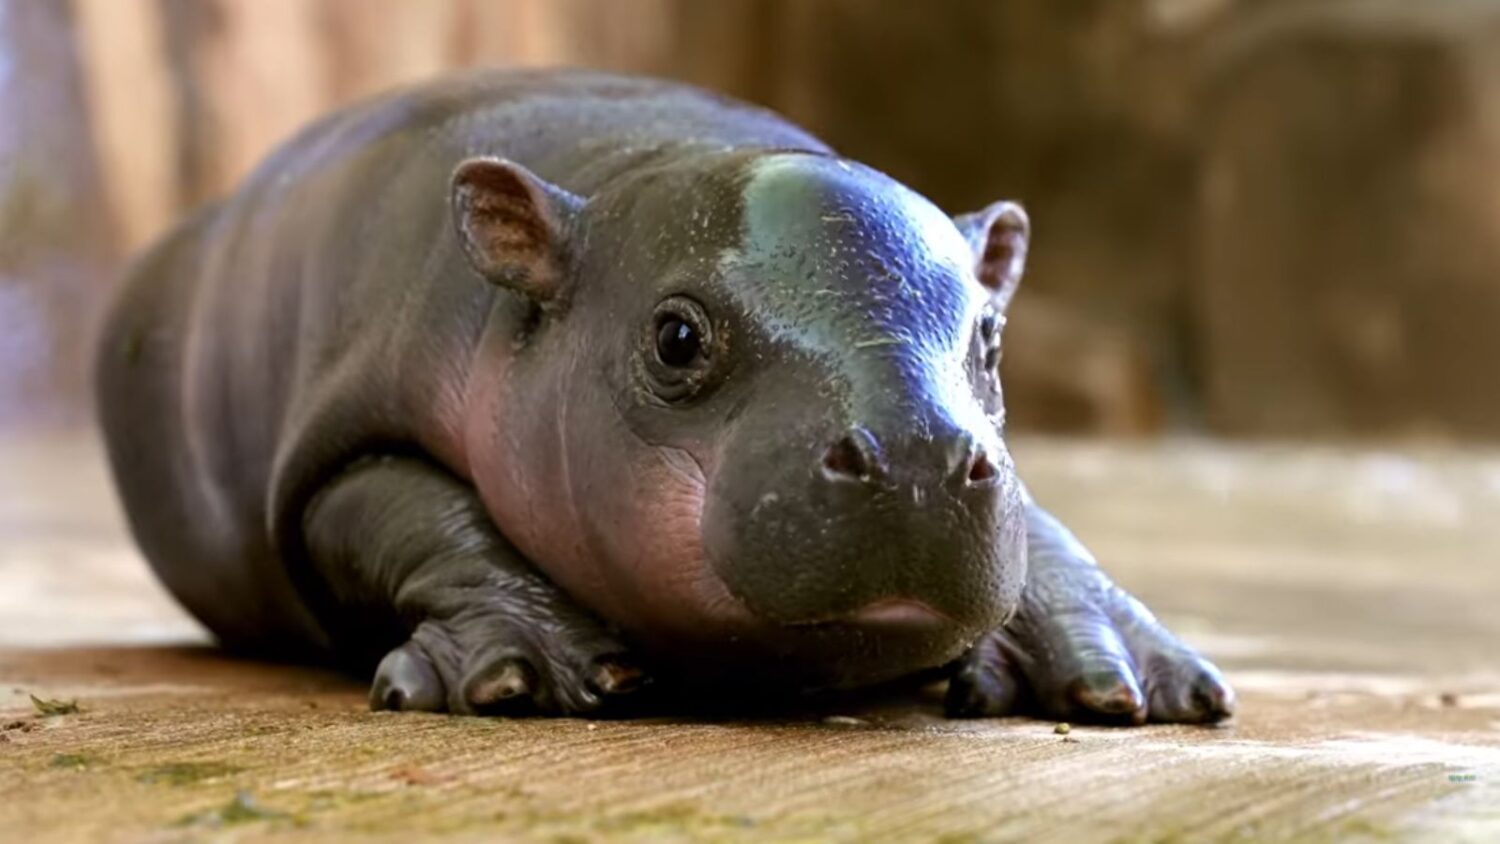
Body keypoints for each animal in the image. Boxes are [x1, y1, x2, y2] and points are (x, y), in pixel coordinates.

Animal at [96, 69, 1233, 722]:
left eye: (991, 338)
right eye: (676, 336)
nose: (916, 456)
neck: (646, 161)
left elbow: (1040, 524)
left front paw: (1134, 680)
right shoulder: (349, 437)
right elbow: (403, 509)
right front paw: (526, 672)